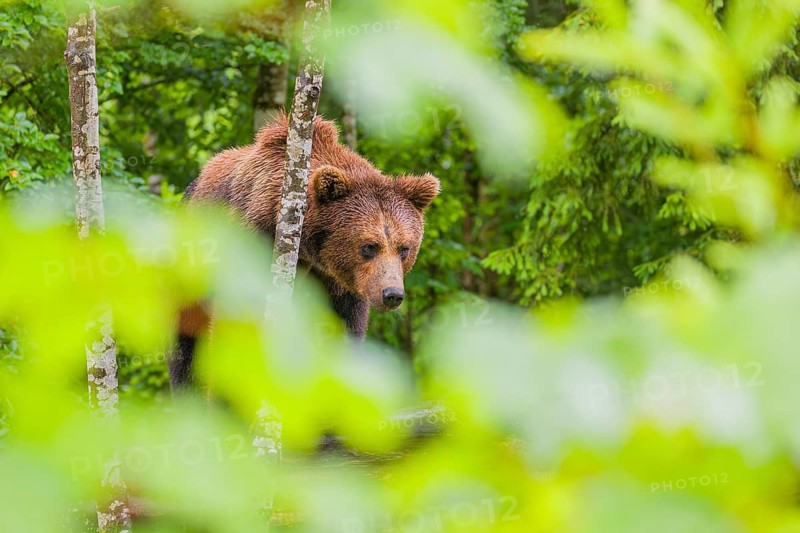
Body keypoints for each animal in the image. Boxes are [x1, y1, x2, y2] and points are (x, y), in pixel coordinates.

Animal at [169, 114, 440, 389]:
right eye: (369, 246)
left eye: (404, 248)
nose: (392, 294)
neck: (309, 250)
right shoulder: (253, 243)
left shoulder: (336, 283)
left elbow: (340, 331)